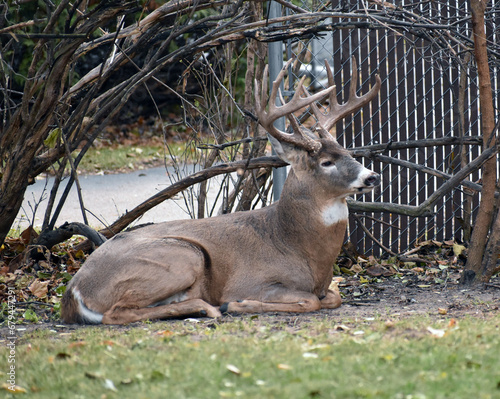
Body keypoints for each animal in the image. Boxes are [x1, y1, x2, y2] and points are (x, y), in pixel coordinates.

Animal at [63, 57, 382, 324]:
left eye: (349, 152)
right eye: (326, 162)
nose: (372, 176)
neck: (297, 246)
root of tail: (74, 291)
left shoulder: (325, 285)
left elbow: (333, 297)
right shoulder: (251, 280)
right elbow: (310, 301)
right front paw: (237, 304)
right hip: (182, 255)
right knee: (116, 313)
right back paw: (208, 307)